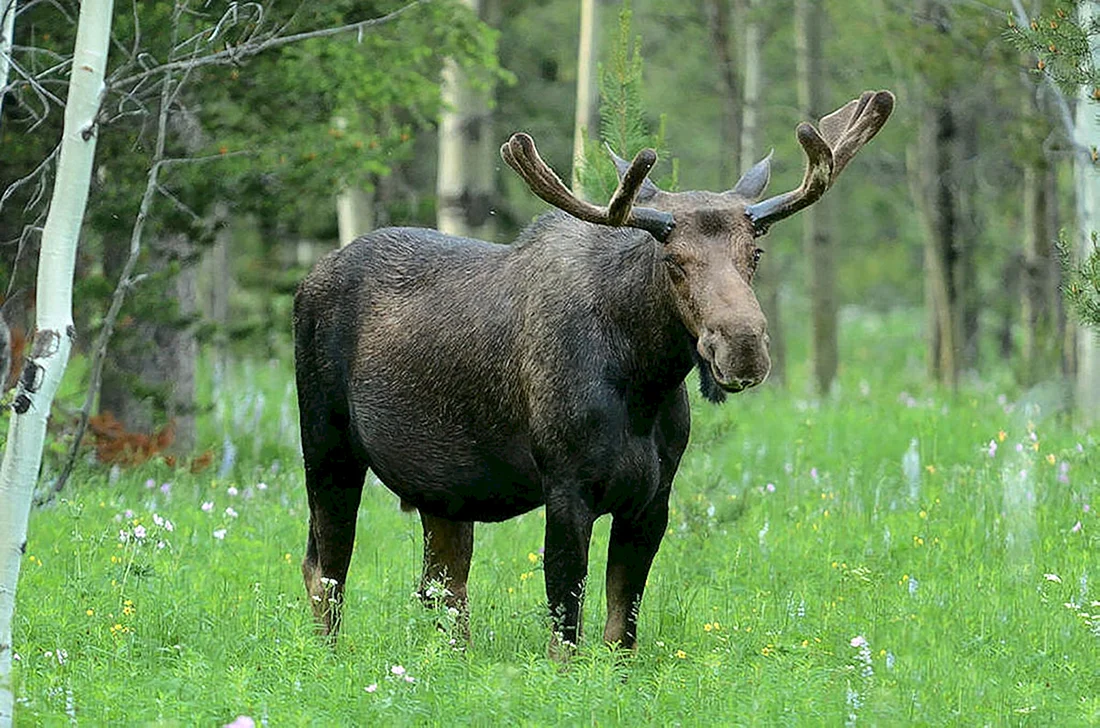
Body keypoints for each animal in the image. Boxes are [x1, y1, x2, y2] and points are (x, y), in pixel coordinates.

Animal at [293, 90, 894, 657]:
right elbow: (566, 631)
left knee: (442, 586)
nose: (742, 347)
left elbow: (621, 632)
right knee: (326, 569)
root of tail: (310, 277)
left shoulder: (653, 499)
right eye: (673, 260)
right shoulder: (567, 488)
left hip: (444, 489)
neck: (644, 383)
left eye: (756, 253)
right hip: (327, 446)